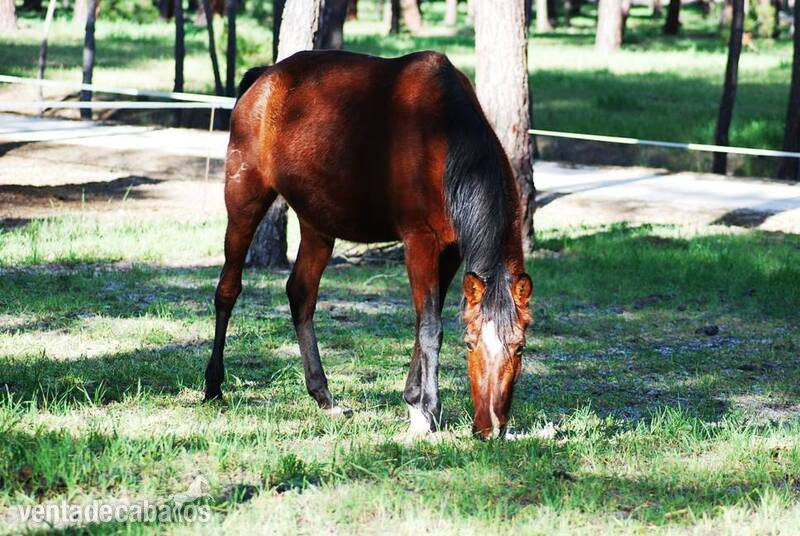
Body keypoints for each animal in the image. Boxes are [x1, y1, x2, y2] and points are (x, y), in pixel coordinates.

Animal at [204, 50, 533, 438]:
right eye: (470, 343)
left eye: (520, 347)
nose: (490, 427)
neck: (444, 137)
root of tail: (264, 78)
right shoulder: (419, 241)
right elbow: (430, 327)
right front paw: (428, 410)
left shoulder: (451, 251)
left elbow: (427, 319)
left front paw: (414, 403)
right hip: (244, 198)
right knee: (228, 288)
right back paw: (213, 384)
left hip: (317, 223)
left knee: (301, 293)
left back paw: (324, 396)